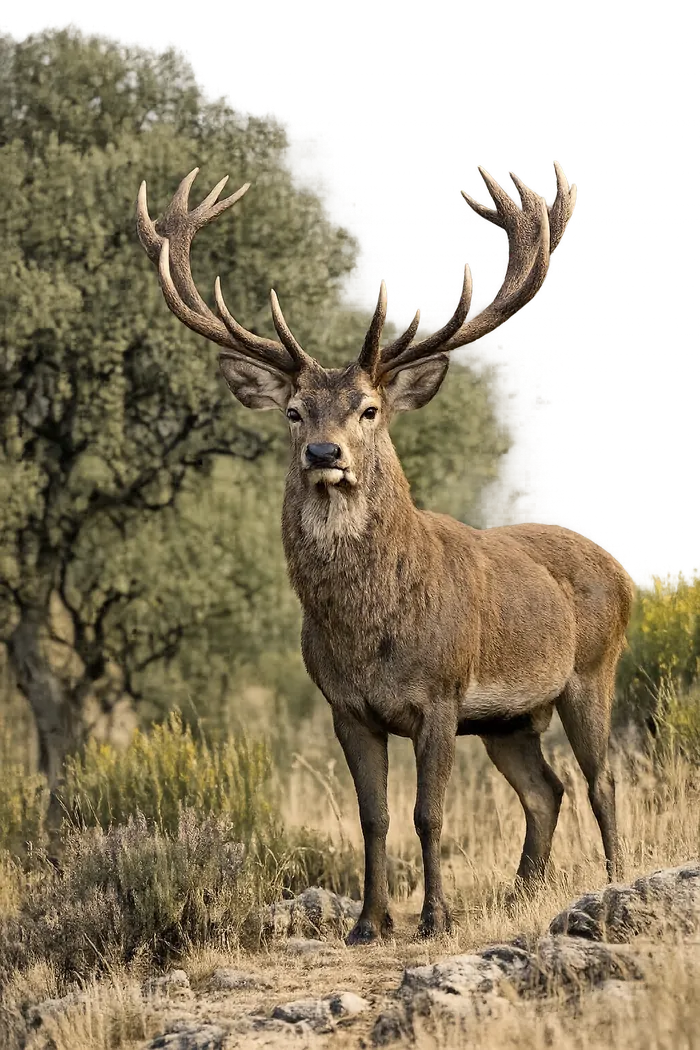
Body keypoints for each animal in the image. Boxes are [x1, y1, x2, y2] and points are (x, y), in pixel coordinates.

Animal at [136, 160, 633, 943]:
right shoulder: (346, 708)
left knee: (599, 778)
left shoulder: (441, 695)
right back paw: (523, 890)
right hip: (508, 719)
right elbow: (371, 817)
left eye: (369, 409)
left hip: (591, 670)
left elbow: (428, 814)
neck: (369, 631)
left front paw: (434, 918)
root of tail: (619, 572)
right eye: (293, 410)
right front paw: (369, 922)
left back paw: (613, 881)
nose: (323, 453)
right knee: (545, 789)